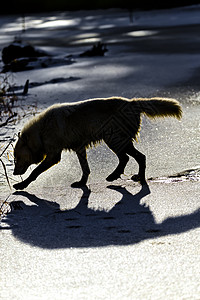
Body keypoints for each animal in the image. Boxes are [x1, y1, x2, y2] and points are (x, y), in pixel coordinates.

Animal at [12, 96, 181, 190]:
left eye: (17, 158)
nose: (14, 173)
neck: (41, 132)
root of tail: (132, 102)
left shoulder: (54, 156)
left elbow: (35, 172)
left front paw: (21, 185)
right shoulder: (79, 148)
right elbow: (85, 169)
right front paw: (81, 183)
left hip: (114, 140)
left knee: (129, 158)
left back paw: (115, 176)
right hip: (120, 141)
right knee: (138, 157)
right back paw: (137, 177)